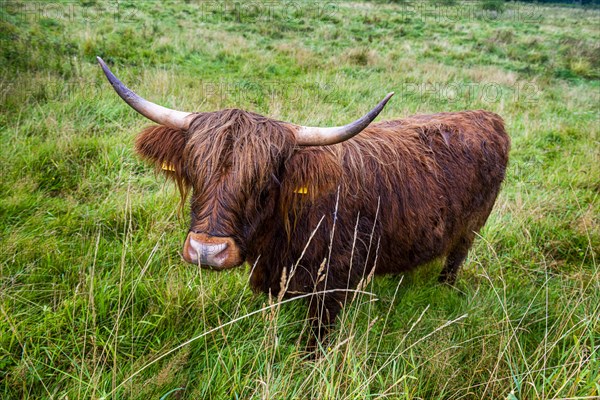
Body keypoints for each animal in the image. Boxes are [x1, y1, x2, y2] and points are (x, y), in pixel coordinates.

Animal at [98, 57, 510, 346]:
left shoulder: (334, 288)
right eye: (195, 171)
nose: (206, 251)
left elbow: (313, 342)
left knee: (455, 259)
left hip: (471, 229)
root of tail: (487, 116)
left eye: (265, 183)